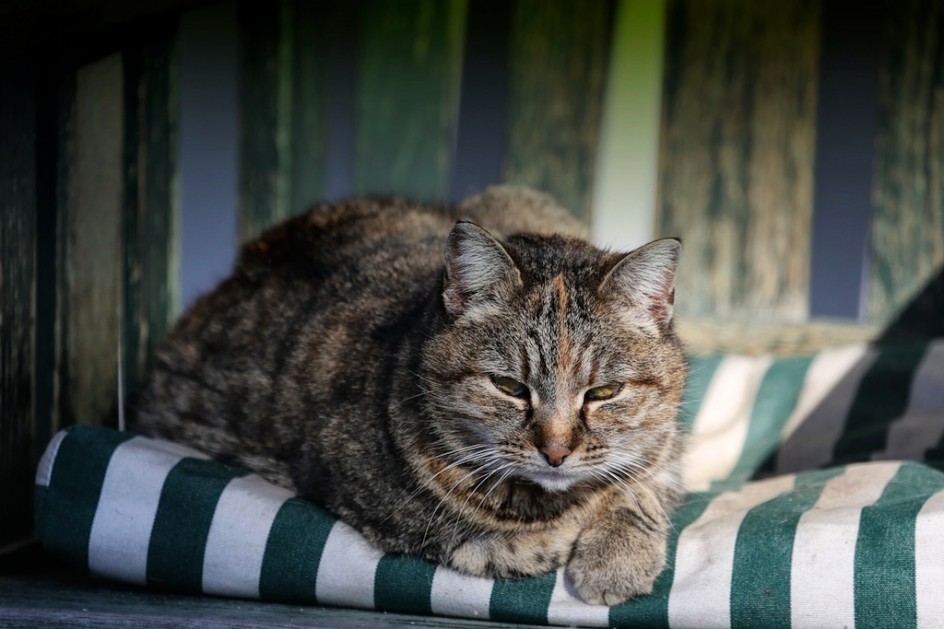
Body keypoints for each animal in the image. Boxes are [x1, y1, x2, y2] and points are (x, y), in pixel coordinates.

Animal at [131, 185, 684, 604]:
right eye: (509, 387)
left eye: (604, 392)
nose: (556, 451)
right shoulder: (361, 490)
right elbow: (502, 546)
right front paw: (578, 534)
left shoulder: (664, 447)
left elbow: (642, 483)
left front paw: (617, 556)